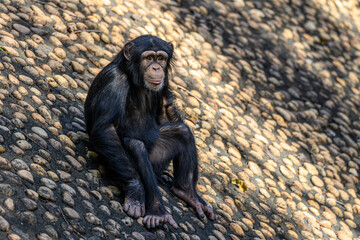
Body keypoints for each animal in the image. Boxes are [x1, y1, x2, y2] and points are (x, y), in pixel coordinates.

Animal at [84, 34, 214, 228]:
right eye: (148, 58)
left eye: (160, 58)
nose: (156, 67)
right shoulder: (114, 80)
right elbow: (105, 128)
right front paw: (136, 189)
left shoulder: (165, 82)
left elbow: (166, 110)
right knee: (136, 147)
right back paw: (158, 212)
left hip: (159, 159)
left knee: (182, 132)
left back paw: (188, 193)